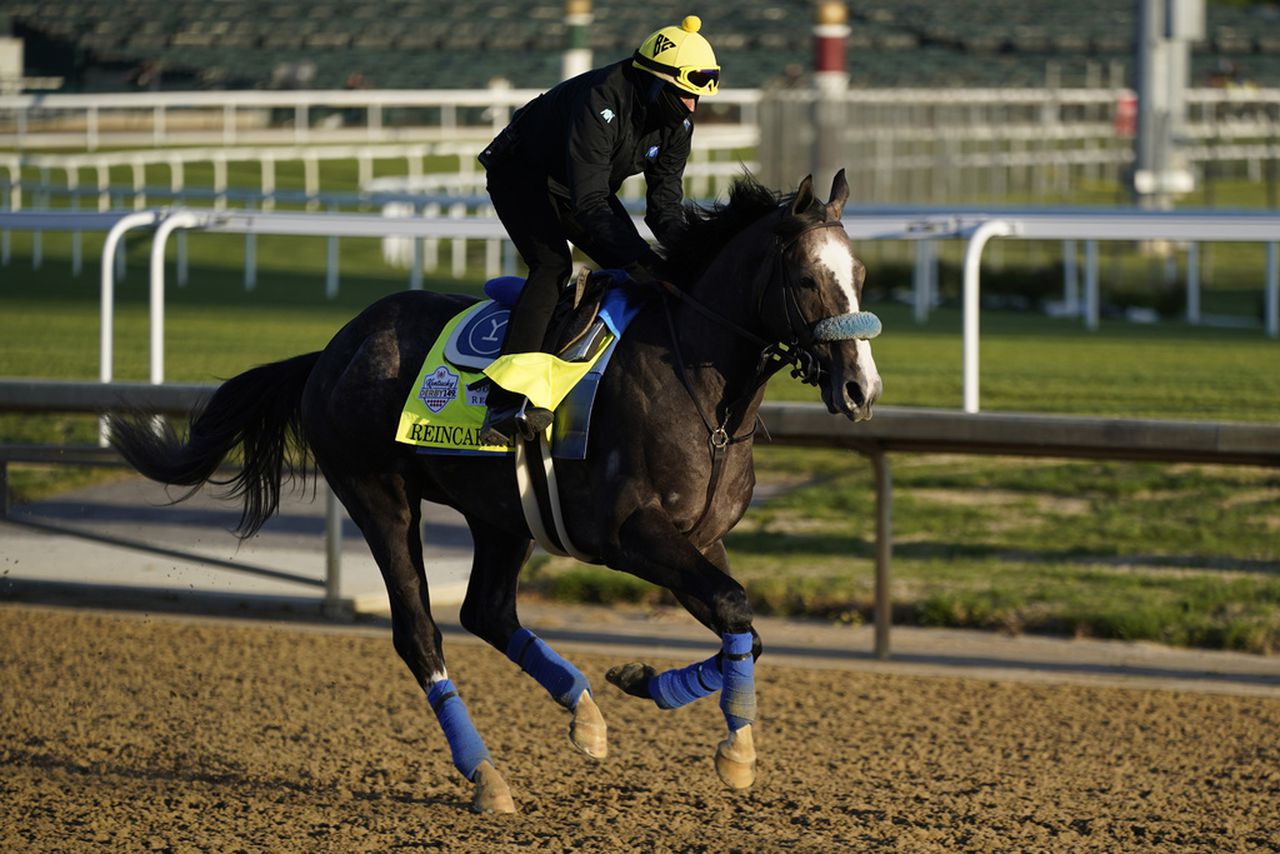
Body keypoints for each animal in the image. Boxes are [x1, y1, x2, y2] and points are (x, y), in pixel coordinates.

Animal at [112, 169, 880, 814]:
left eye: (861, 275)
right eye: (807, 279)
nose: (860, 389)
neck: (701, 388)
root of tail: (333, 349)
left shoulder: (700, 537)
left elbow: (743, 624)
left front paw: (647, 683)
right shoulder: (628, 533)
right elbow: (734, 607)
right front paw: (733, 749)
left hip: (504, 515)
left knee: (486, 611)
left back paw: (585, 714)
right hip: (377, 494)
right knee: (421, 633)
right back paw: (486, 776)